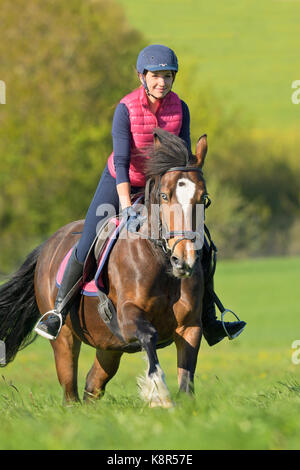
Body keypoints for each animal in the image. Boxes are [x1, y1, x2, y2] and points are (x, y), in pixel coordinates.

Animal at [0, 129, 209, 408]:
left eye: (203, 199)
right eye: (165, 196)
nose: (183, 259)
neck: (161, 263)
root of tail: (48, 244)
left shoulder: (190, 327)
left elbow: (187, 378)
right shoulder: (128, 316)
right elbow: (149, 336)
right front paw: (159, 395)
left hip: (109, 347)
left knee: (92, 385)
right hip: (65, 340)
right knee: (70, 391)